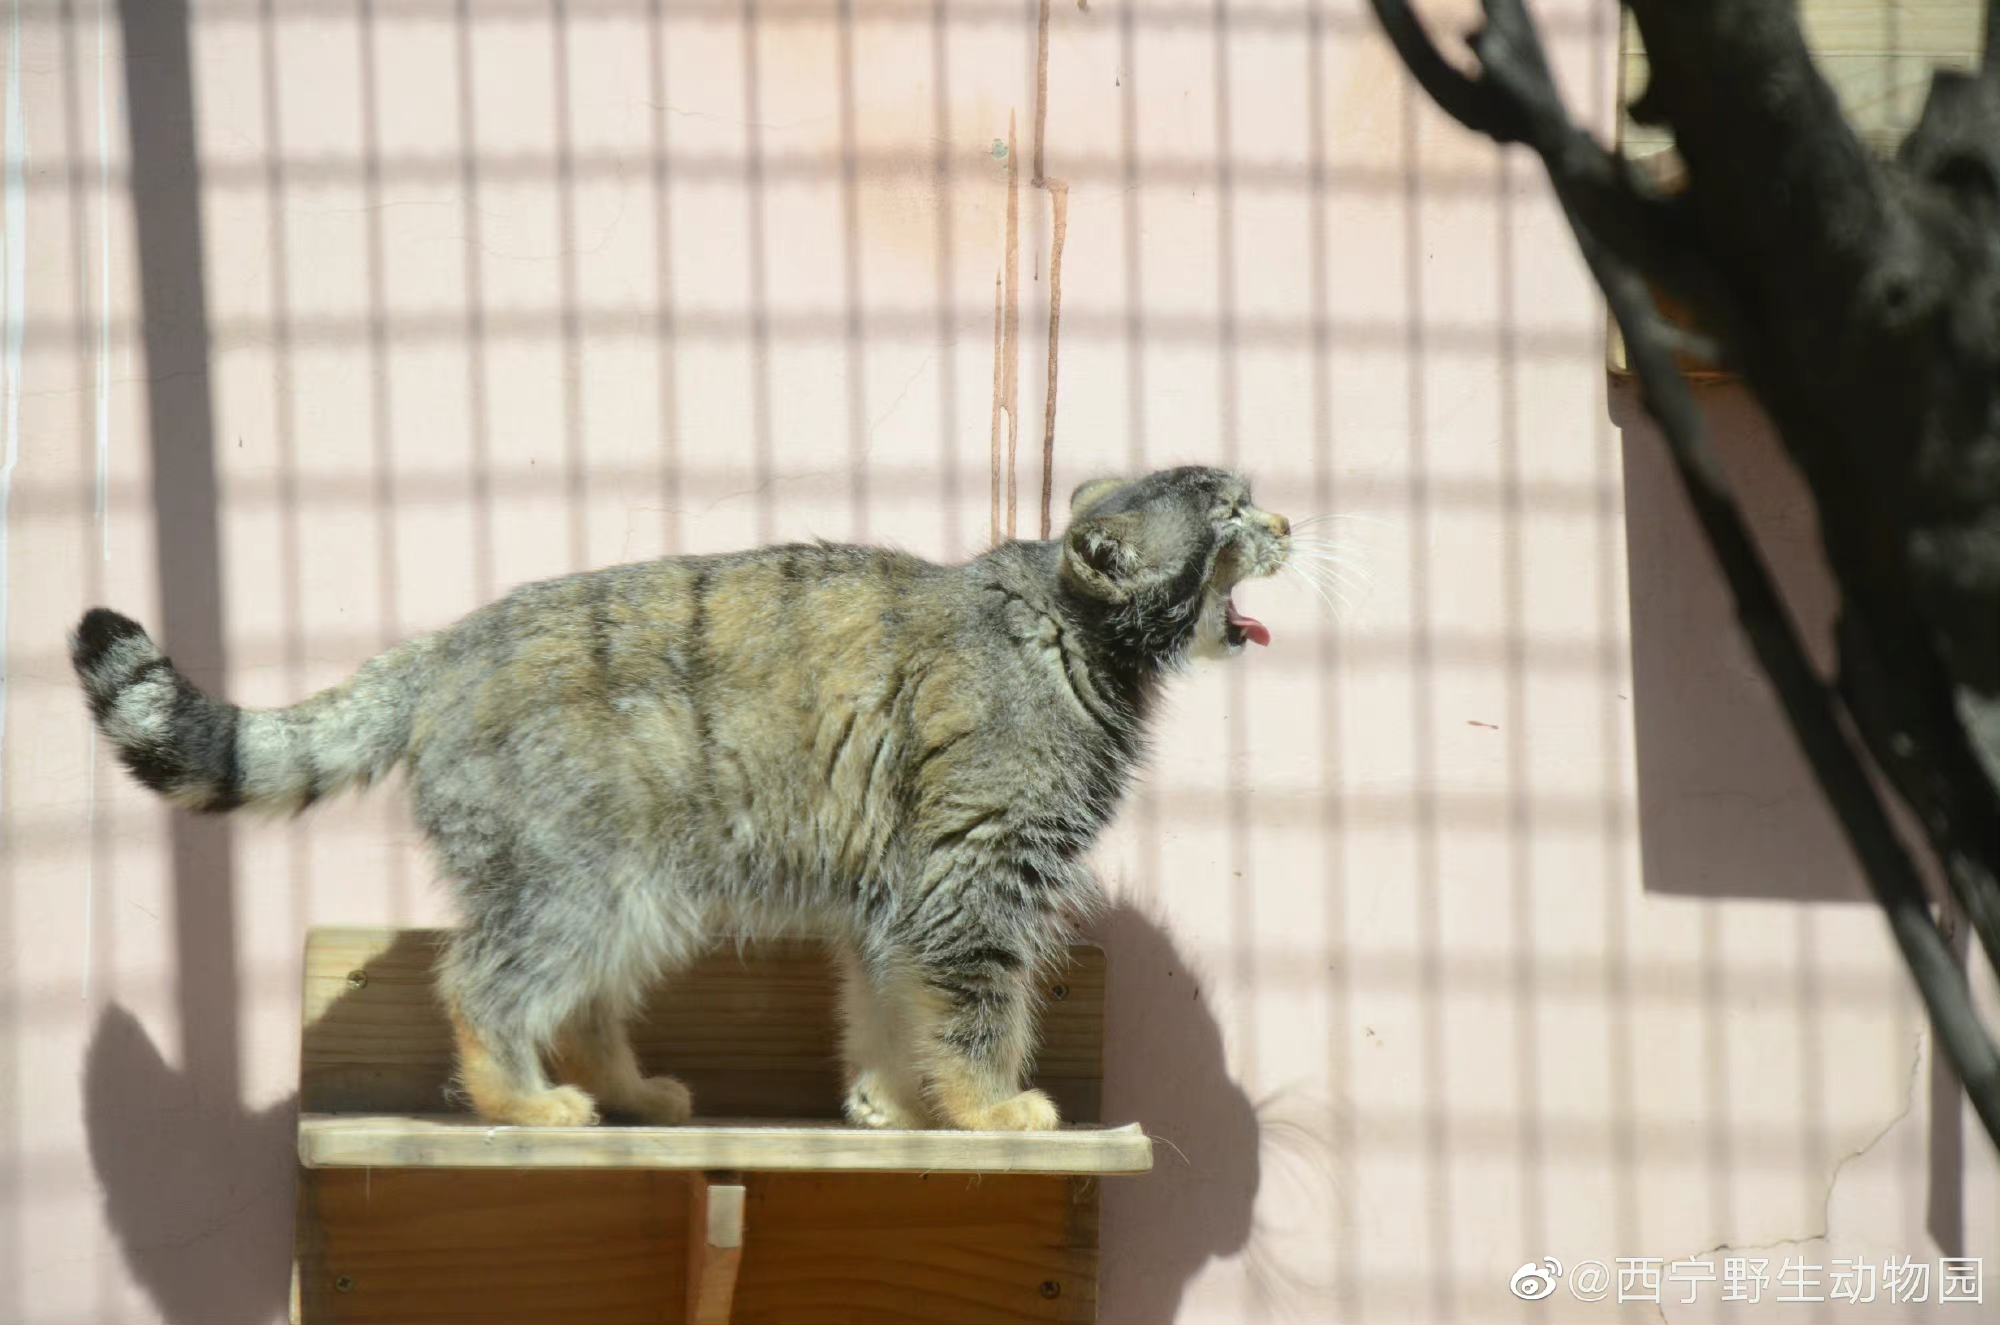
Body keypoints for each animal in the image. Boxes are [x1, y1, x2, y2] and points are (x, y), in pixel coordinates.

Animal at [70, 464, 1288, 1128]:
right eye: (1228, 512)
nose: (1286, 523)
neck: (1066, 631)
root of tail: (451, 640)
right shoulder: (972, 876)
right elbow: (974, 1008)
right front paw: (989, 1106)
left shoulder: (897, 892)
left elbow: (890, 1006)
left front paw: (893, 1103)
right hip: (575, 882)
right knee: (481, 981)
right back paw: (519, 1098)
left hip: (632, 893)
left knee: (581, 1003)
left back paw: (622, 1087)